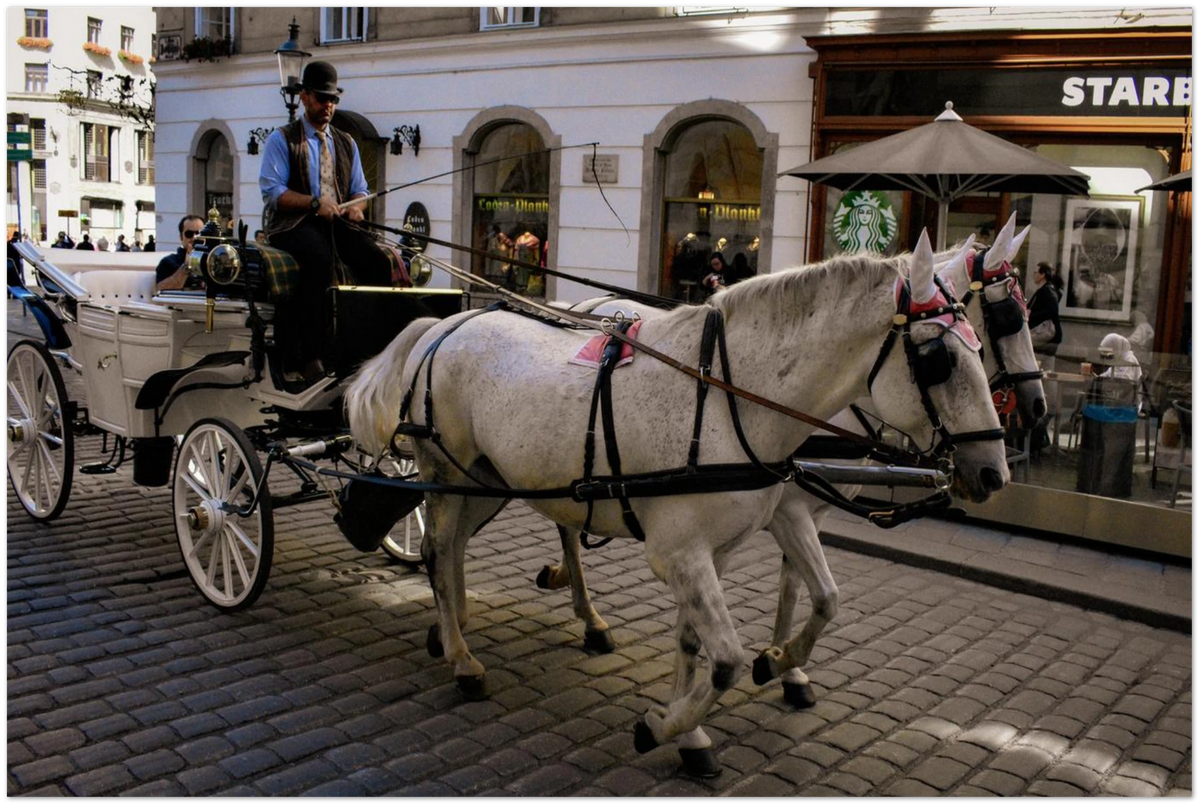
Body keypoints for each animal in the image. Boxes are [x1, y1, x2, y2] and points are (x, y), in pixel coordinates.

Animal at [345, 230, 1009, 775]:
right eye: (939, 358)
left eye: (981, 344)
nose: (995, 472)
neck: (730, 400)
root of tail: (443, 326)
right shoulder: (681, 553)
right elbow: (727, 660)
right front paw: (666, 725)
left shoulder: (724, 546)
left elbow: (722, 635)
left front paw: (703, 725)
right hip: (442, 471)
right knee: (437, 550)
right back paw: (462, 656)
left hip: (487, 478)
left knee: (455, 547)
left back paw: (454, 628)